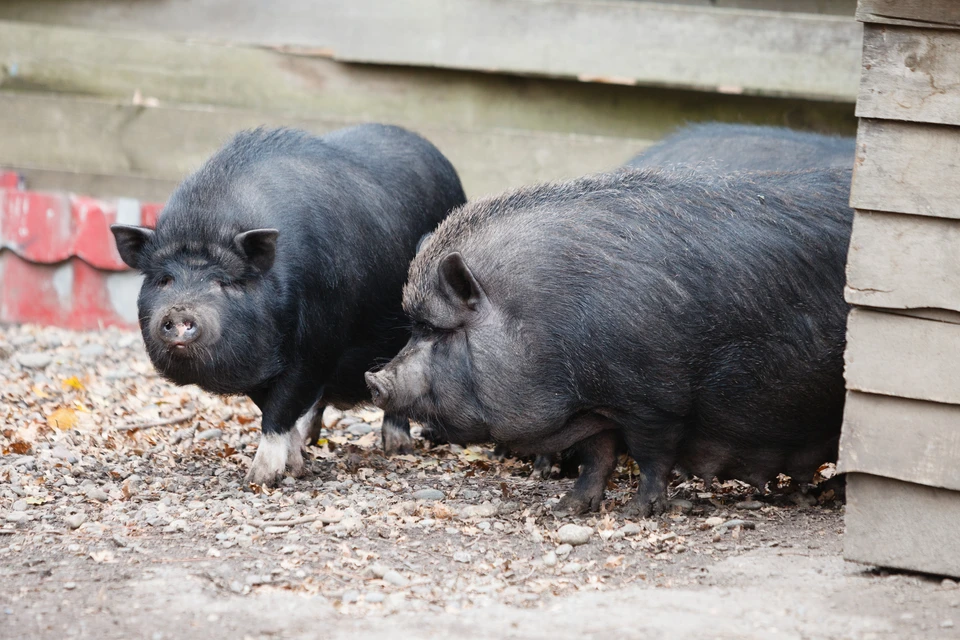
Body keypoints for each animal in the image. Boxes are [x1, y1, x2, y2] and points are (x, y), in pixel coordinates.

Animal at [110, 124, 466, 484]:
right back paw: (312, 439)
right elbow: (272, 407)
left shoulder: (317, 347)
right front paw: (295, 465)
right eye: (164, 280)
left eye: (224, 282)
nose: (180, 312)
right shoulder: (258, 368)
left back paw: (397, 447)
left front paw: (259, 478)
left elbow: (280, 409)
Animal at [368, 166, 856, 516]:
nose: (374, 381)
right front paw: (568, 509)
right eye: (415, 328)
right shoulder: (594, 408)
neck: (542, 323)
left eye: (440, 330)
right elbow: (597, 457)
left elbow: (652, 456)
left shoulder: (655, 400)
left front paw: (636, 513)